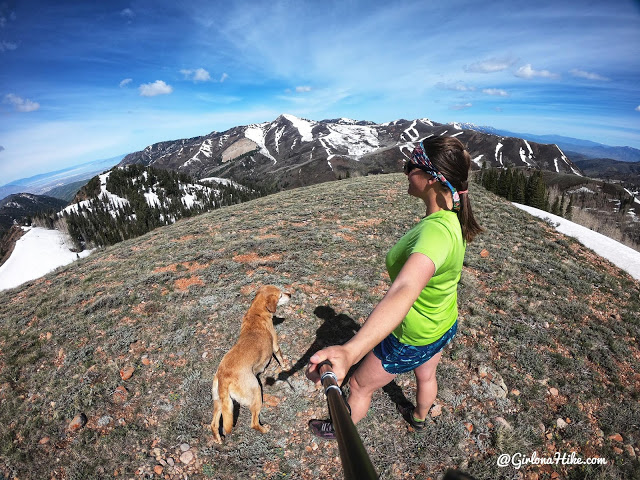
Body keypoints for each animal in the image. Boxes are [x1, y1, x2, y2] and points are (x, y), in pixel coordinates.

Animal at [210, 284, 290, 442]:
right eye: (281, 295)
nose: (290, 294)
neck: (257, 312)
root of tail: (223, 375)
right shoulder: (275, 346)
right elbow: (280, 358)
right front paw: (285, 366)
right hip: (256, 391)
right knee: (253, 422)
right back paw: (264, 429)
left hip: (220, 402)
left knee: (213, 424)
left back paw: (218, 439)